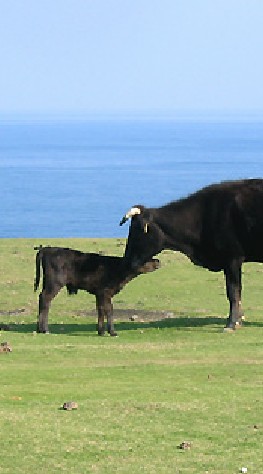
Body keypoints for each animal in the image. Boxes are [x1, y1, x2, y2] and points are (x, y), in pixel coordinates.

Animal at [121, 180, 263, 332]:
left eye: (136, 232)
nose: (127, 260)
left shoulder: (232, 258)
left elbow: (233, 292)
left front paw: (232, 324)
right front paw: (239, 320)